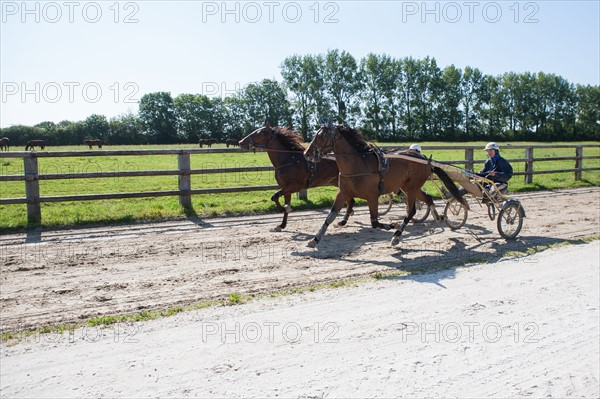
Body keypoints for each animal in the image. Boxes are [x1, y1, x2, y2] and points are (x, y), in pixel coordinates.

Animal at [304, 123, 468, 248]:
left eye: (322, 136)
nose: (306, 153)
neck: (358, 165)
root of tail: (424, 159)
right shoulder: (343, 193)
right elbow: (330, 217)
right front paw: (315, 239)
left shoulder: (372, 196)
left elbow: (375, 222)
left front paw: (392, 225)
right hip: (409, 187)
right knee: (428, 198)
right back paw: (437, 217)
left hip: (412, 188)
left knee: (411, 211)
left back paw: (396, 236)